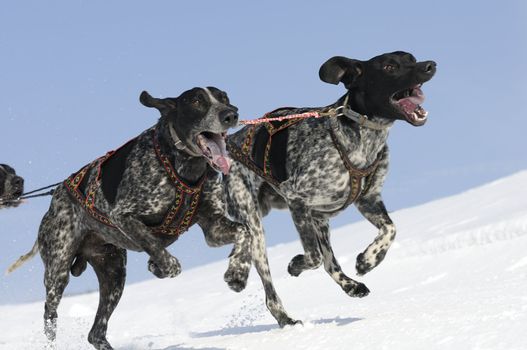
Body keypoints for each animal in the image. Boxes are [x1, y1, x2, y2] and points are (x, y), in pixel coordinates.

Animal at [6, 87, 254, 350]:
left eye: (224, 97)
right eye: (197, 101)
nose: (231, 114)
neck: (183, 166)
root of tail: (55, 199)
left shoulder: (213, 226)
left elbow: (244, 231)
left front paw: (238, 273)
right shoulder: (123, 216)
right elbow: (154, 244)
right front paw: (165, 265)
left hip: (114, 274)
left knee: (96, 332)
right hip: (58, 270)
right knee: (50, 315)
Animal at [223, 51, 438, 326]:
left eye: (411, 58)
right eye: (390, 67)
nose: (430, 66)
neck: (361, 142)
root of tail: (231, 141)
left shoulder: (368, 199)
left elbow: (390, 229)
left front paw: (368, 260)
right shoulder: (296, 198)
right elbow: (312, 257)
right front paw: (295, 264)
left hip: (318, 220)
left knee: (328, 263)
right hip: (256, 222)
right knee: (270, 284)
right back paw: (276, 309)